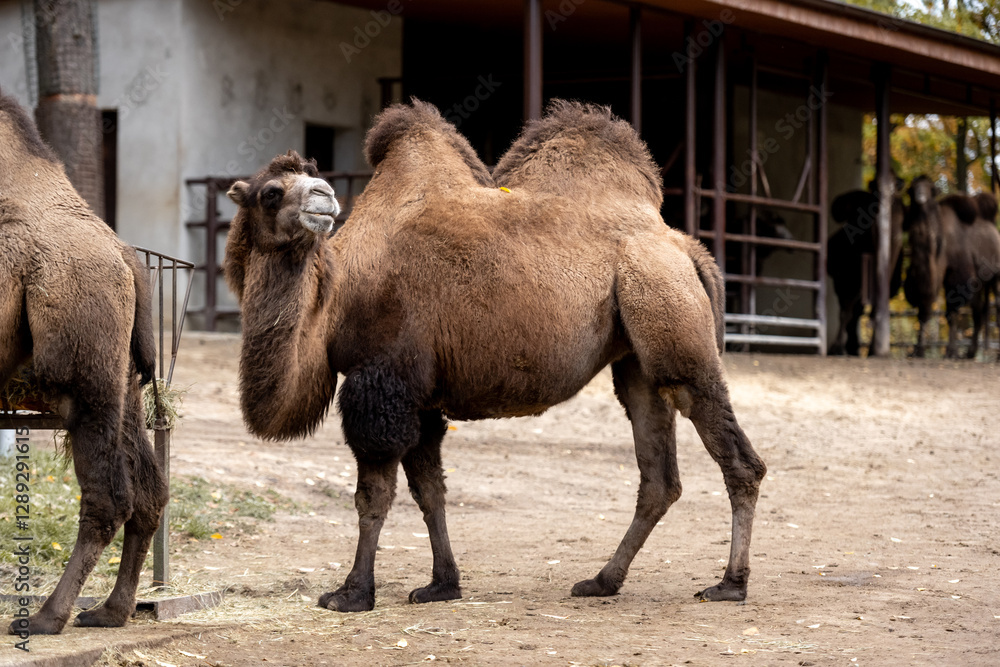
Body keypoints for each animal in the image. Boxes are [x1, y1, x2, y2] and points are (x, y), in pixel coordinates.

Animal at [0, 90, 166, 634]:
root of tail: (125, 257)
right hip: (124, 383)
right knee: (148, 490)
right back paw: (110, 610)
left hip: (83, 374)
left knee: (108, 496)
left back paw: (48, 616)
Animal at [224, 99, 766, 612]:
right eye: (270, 192)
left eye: (310, 179)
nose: (323, 196)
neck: (337, 300)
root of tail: (683, 245)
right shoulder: (420, 396)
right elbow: (431, 492)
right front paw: (442, 585)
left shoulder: (381, 380)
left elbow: (373, 497)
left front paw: (352, 593)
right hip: (636, 357)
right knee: (658, 475)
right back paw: (601, 581)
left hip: (669, 314)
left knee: (736, 456)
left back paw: (729, 585)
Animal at [904, 175, 1000, 359]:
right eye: (912, 189)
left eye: (930, 189)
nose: (920, 196)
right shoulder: (927, 282)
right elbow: (924, 311)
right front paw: (917, 350)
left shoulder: (958, 276)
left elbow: (951, 313)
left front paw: (950, 351)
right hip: (980, 282)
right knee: (979, 312)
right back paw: (970, 353)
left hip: (995, 277)